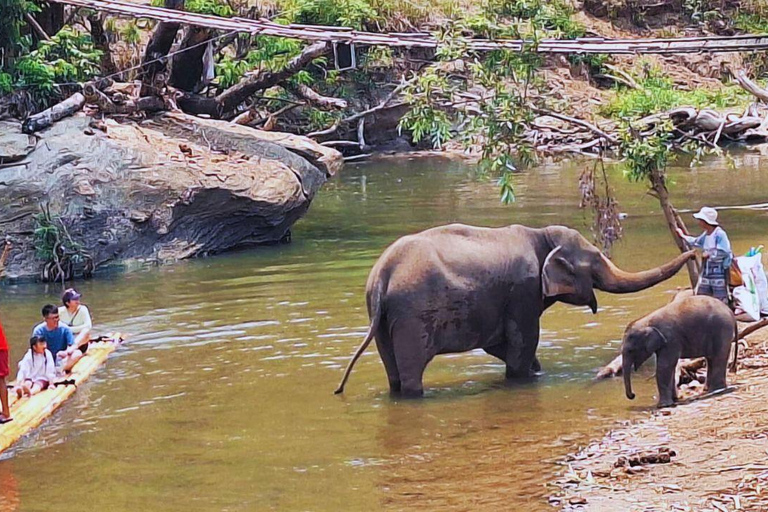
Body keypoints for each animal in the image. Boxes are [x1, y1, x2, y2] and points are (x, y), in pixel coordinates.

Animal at [332, 223, 692, 396]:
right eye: (594, 263)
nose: (693, 251)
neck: (540, 234)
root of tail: (382, 276)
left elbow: (500, 345)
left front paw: (535, 370)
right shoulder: (523, 291)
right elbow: (523, 341)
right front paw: (524, 378)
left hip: (382, 319)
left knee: (391, 367)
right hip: (411, 316)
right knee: (410, 370)